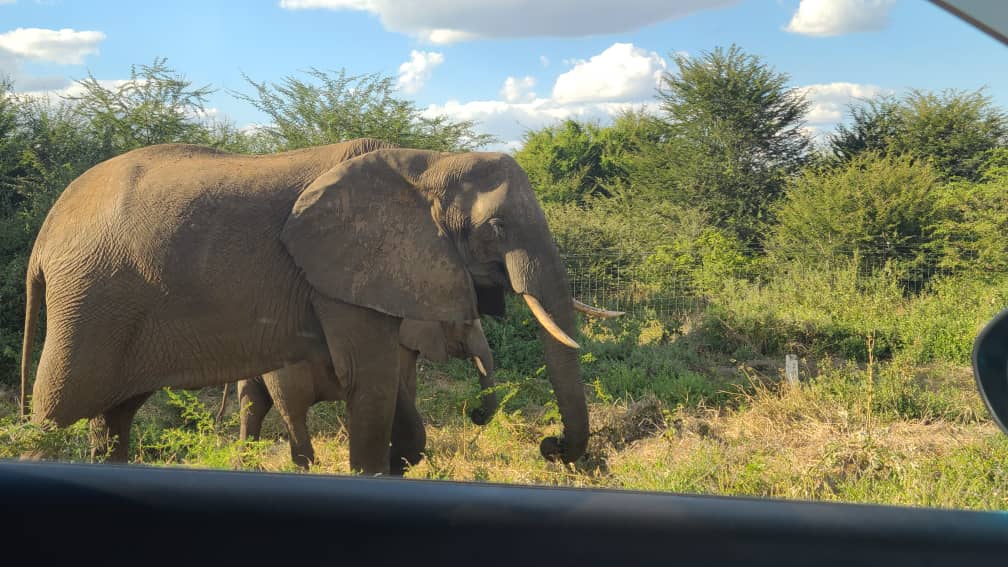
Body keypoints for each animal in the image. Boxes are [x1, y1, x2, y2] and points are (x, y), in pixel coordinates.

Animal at [230, 318, 497, 473]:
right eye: (466, 325)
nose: (476, 414)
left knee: (252, 406)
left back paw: (248, 466)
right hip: (285, 368)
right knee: (293, 410)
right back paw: (308, 468)